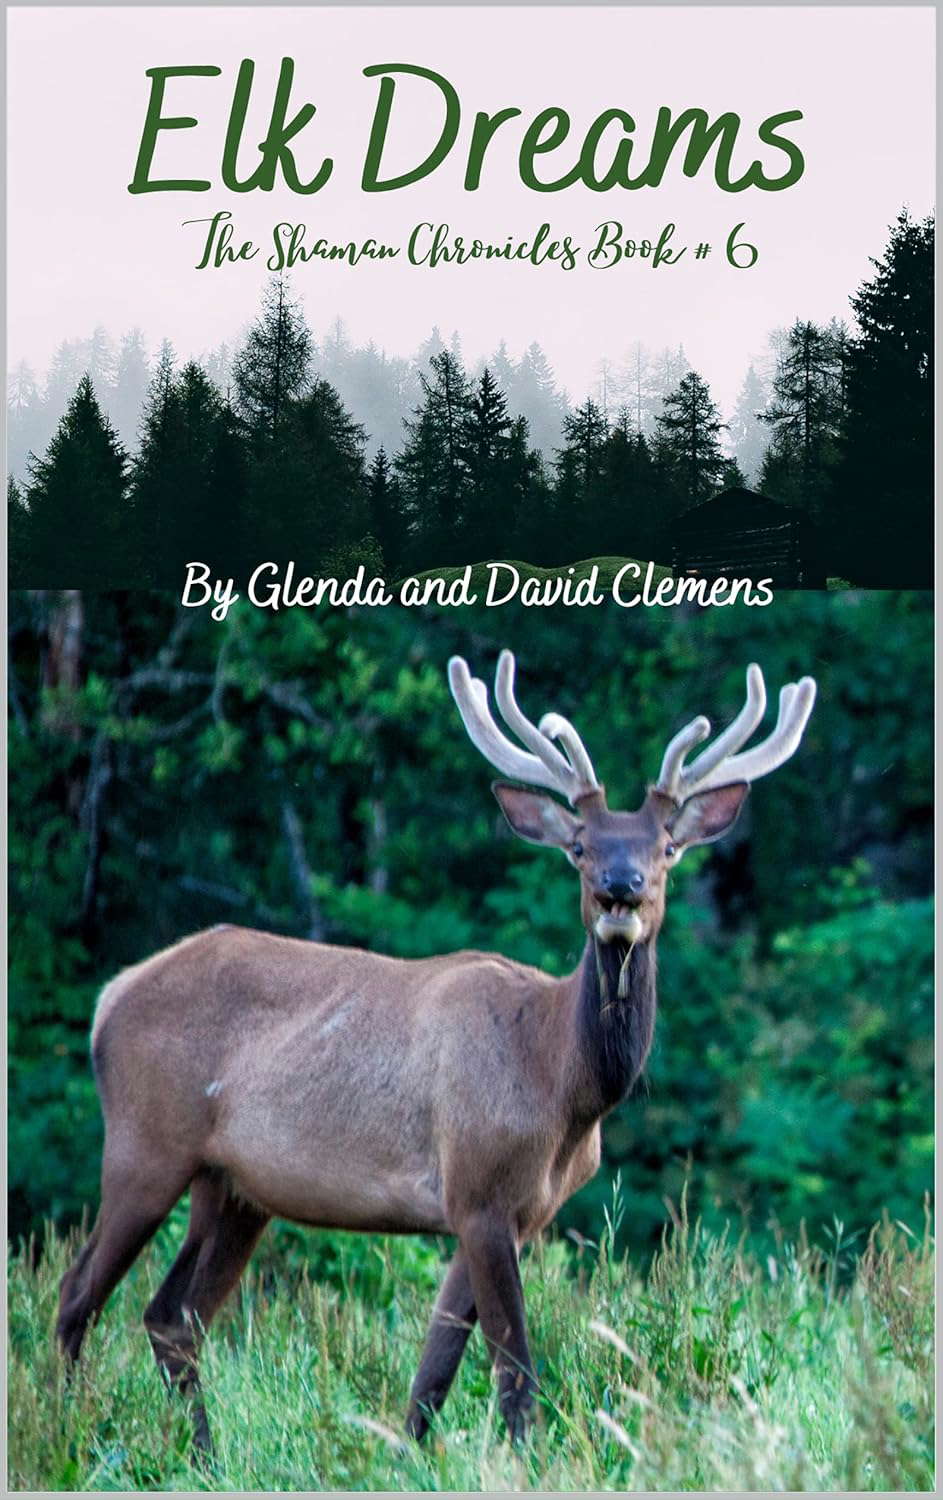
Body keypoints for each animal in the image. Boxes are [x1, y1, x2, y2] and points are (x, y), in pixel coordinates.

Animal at [56, 649, 816, 1453]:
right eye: (580, 848)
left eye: (666, 848)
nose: (621, 888)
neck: (561, 1084)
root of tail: (108, 1001)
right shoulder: (477, 1187)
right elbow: (512, 1368)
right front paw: (520, 1460)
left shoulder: (512, 1212)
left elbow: (437, 1364)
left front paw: (409, 1453)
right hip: (145, 1145)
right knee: (77, 1297)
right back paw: (67, 1428)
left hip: (233, 1188)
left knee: (172, 1317)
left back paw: (204, 1455)